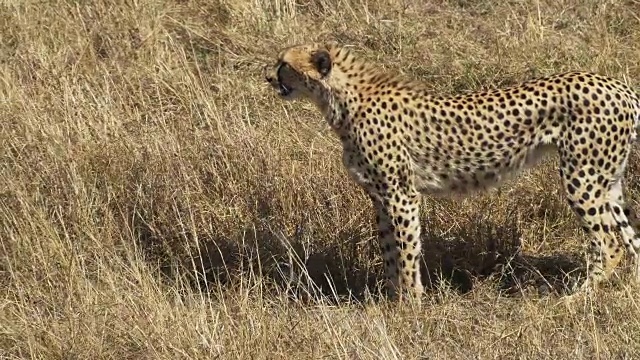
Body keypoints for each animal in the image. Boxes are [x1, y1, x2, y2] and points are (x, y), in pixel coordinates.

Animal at [262, 41, 640, 300]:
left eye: (283, 64)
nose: (267, 77)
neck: (342, 99)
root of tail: (619, 86)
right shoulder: (381, 197)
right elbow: (388, 250)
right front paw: (391, 301)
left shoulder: (401, 195)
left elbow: (406, 250)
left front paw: (412, 305)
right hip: (609, 182)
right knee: (631, 239)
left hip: (583, 179)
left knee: (610, 243)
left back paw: (577, 299)